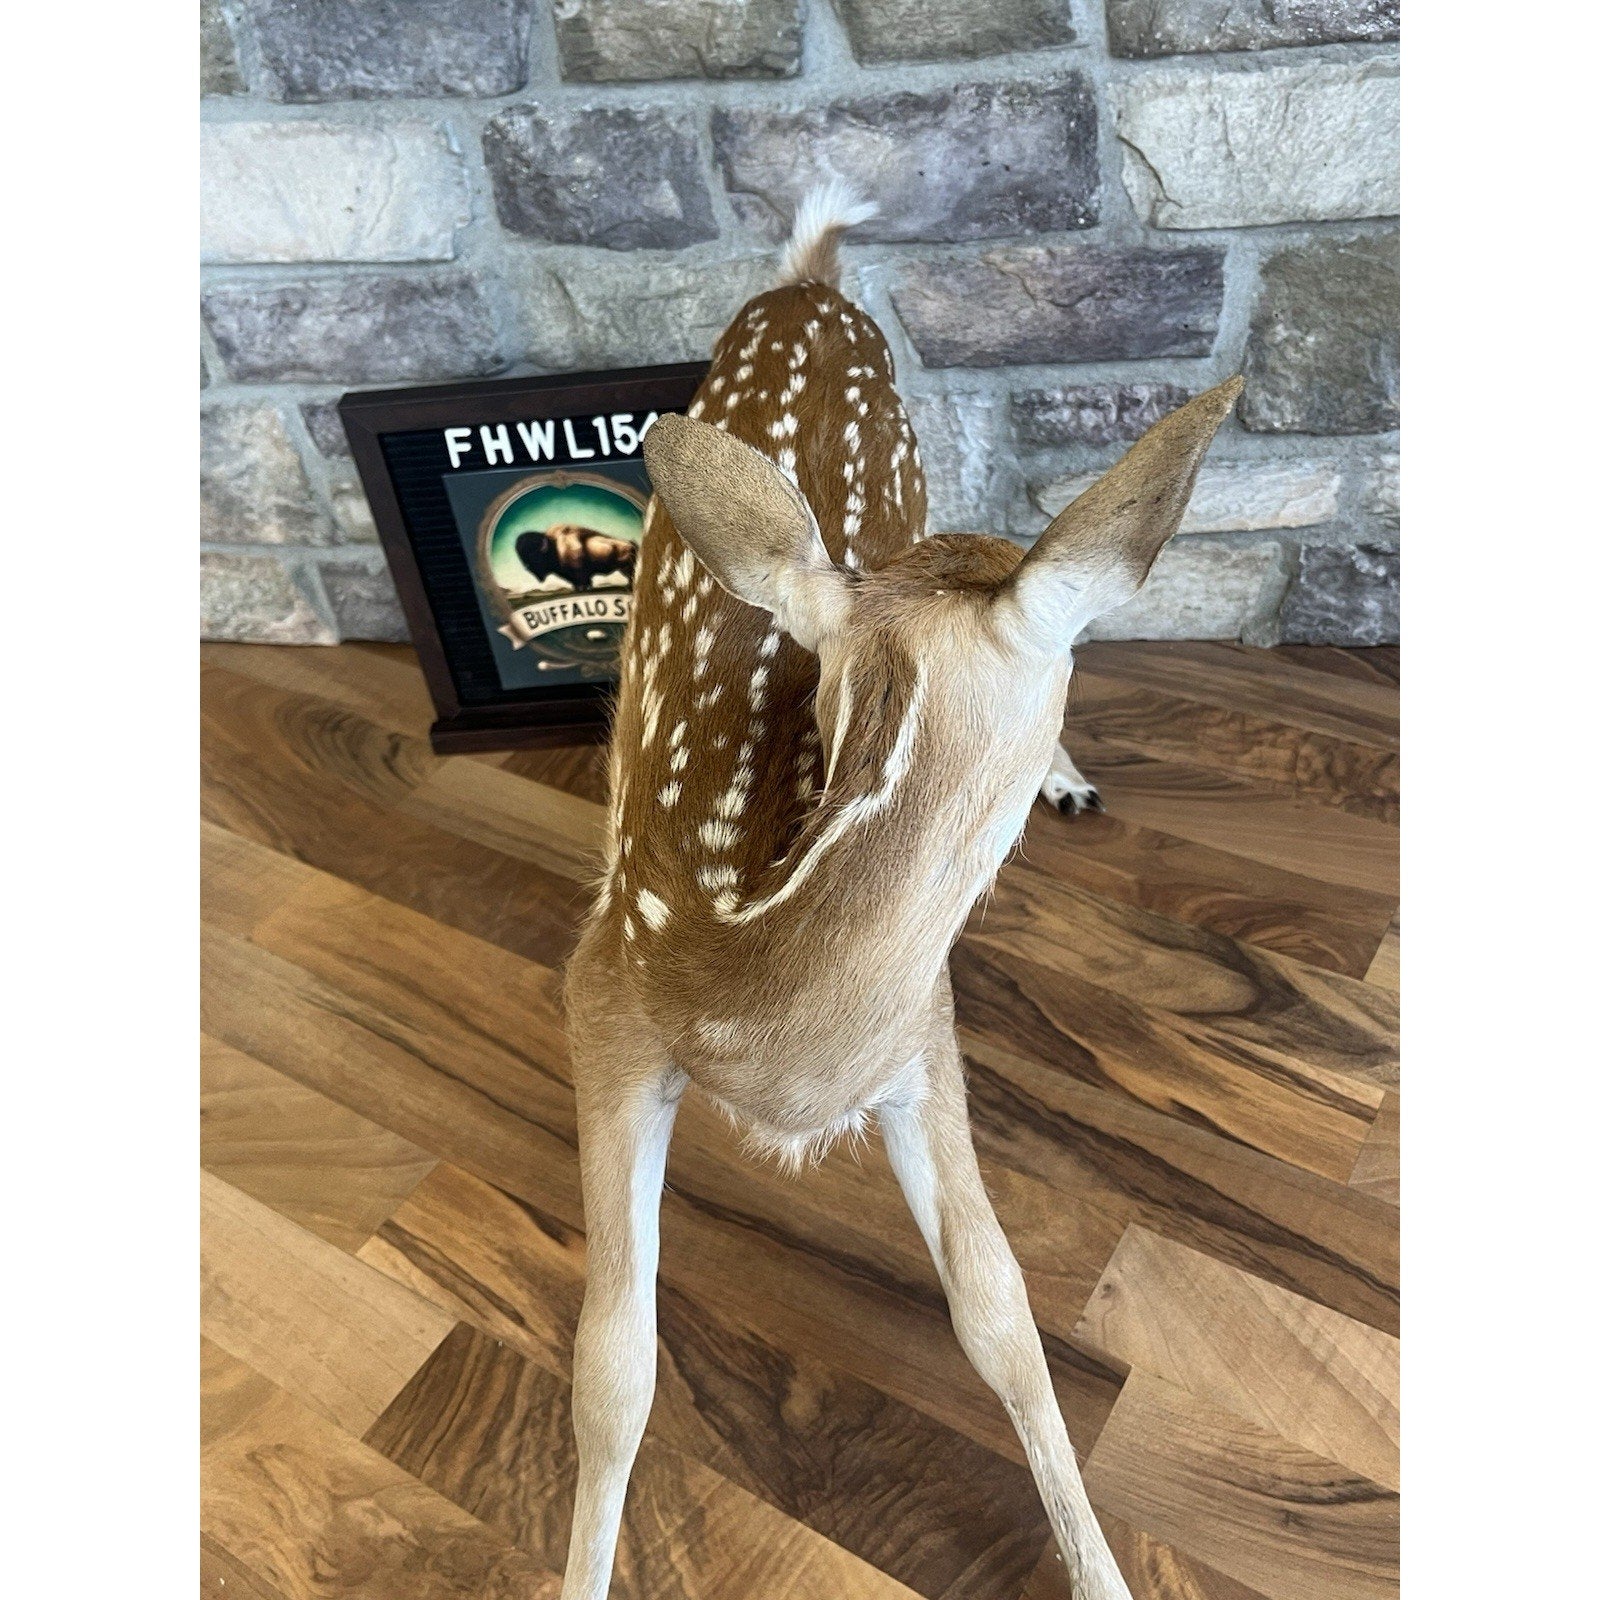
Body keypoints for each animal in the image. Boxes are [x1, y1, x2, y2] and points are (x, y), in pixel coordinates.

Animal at [559, 183, 1242, 1600]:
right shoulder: (601, 1001)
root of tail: (808, 282)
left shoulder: (921, 1035)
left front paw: (1103, 1571)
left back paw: (1077, 790)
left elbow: (1000, 1311)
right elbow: (612, 1368)